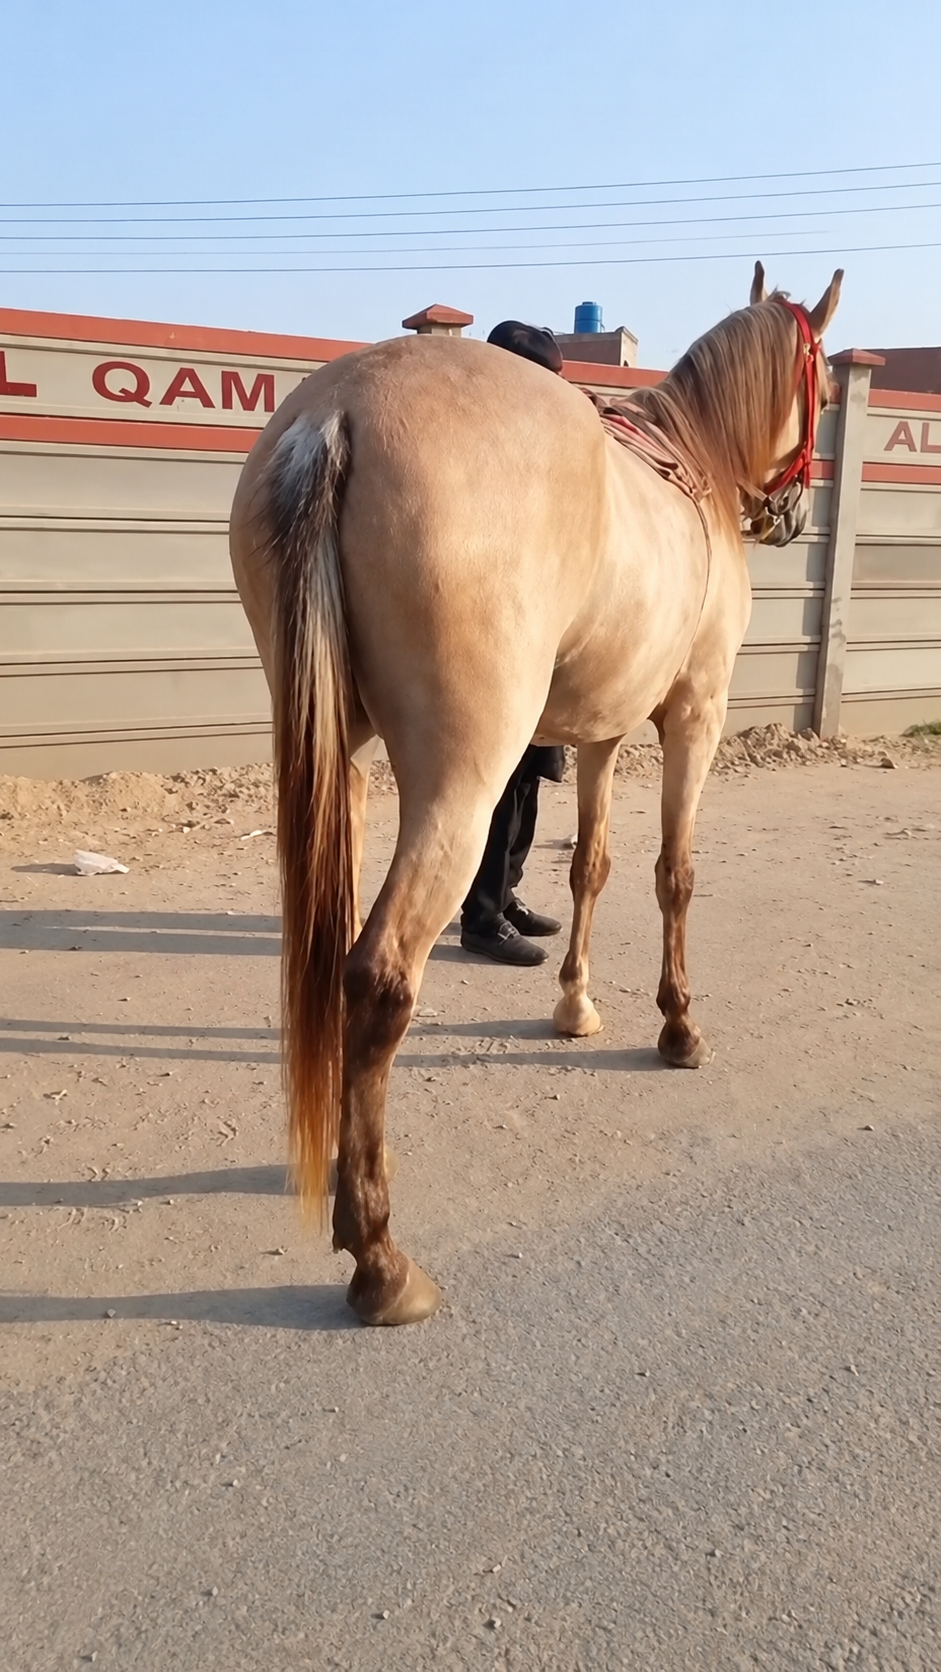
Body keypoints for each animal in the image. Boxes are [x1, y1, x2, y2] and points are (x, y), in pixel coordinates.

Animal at [229, 261, 843, 1326]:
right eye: (819, 379)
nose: (791, 514)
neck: (693, 456)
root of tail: (338, 415)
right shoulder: (693, 715)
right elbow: (673, 874)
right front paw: (677, 1026)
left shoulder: (596, 736)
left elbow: (589, 867)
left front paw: (575, 1004)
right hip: (463, 785)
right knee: (376, 976)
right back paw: (378, 1256)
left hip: (333, 764)